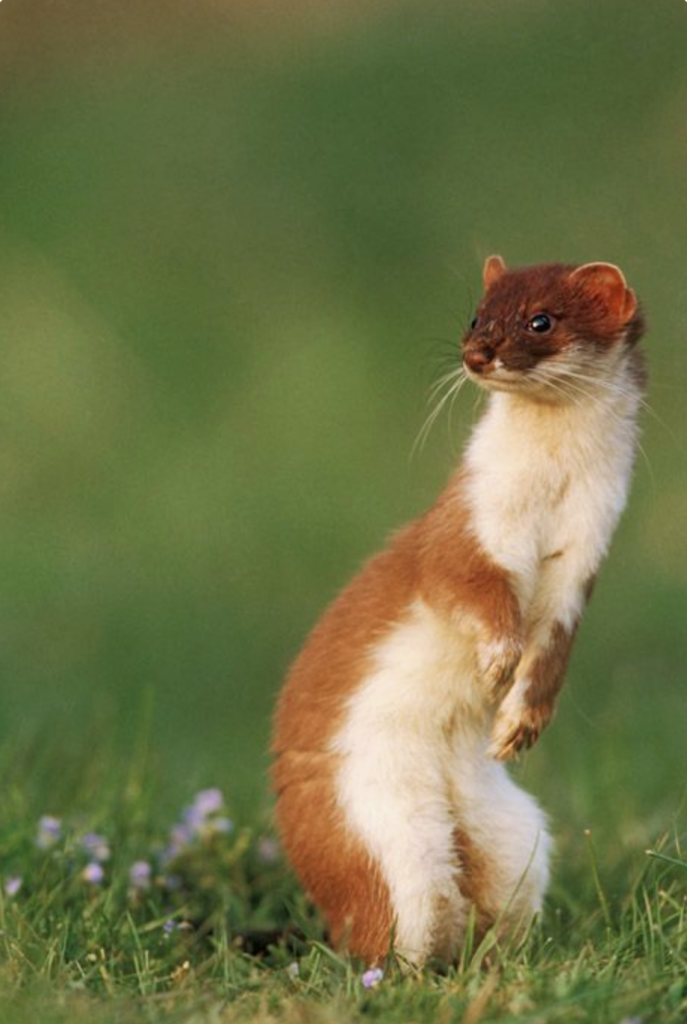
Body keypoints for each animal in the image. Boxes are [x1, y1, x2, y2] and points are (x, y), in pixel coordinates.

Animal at [272, 256, 647, 966]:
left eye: (541, 319)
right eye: (477, 314)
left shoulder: (585, 558)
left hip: (516, 833)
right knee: (392, 924)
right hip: (380, 830)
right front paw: (497, 657)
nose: (478, 354)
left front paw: (519, 724)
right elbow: (466, 585)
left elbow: (552, 653)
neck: (551, 499)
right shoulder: (465, 528)